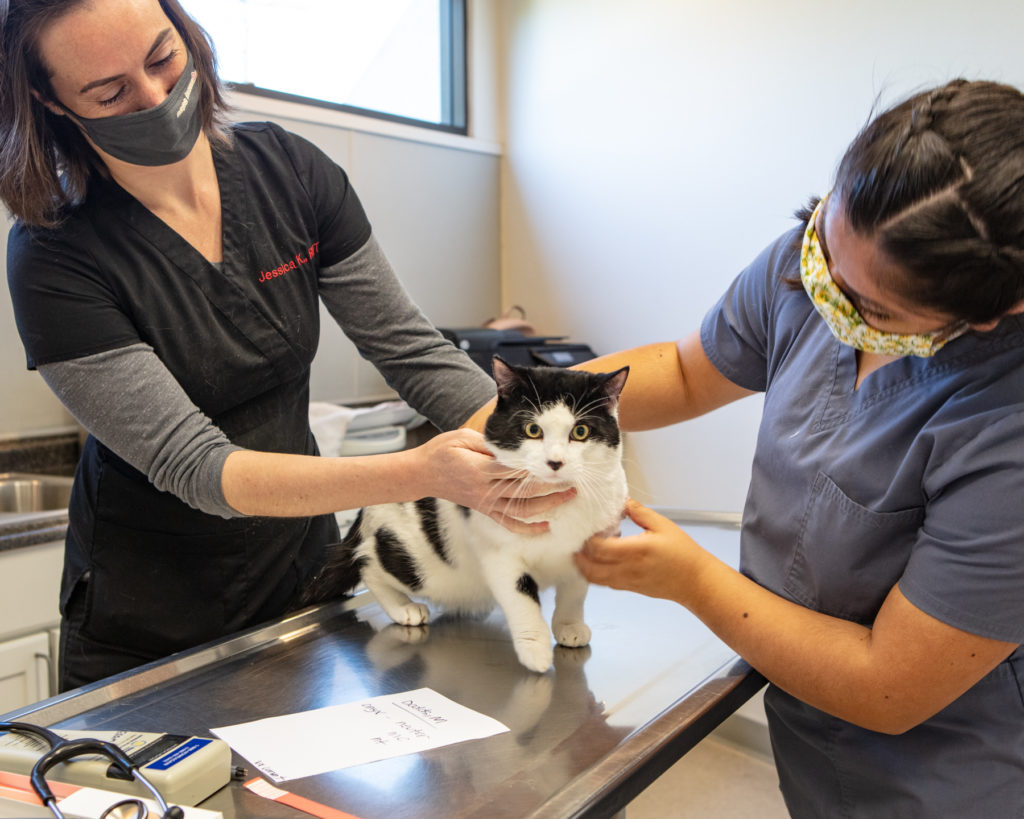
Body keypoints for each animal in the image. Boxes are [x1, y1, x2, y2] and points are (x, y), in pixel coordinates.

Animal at [299, 358, 626, 671]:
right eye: (533, 430)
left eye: (580, 432)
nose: (555, 462)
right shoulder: (499, 553)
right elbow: (521, 598)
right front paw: (535, 650)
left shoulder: (587, 548)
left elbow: (574, 594)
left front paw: (569, 626)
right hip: (416, 562)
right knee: (367, 562)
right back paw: (403, 607)